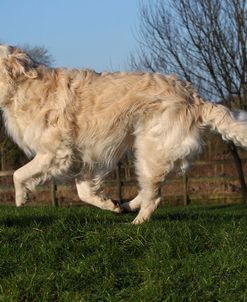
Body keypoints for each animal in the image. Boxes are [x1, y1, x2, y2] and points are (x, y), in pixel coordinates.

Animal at [0, 45, 247, 224]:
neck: (22, 88)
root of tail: (196, 98)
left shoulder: (55, 153)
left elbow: (18, 174)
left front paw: (21, 198)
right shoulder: (85, 156)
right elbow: (83, 191)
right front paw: (110, 204)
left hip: (148, 151)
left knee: (154, 196)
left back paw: (137, 223)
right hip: (154, 152)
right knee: (150, 190)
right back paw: (127, 206)